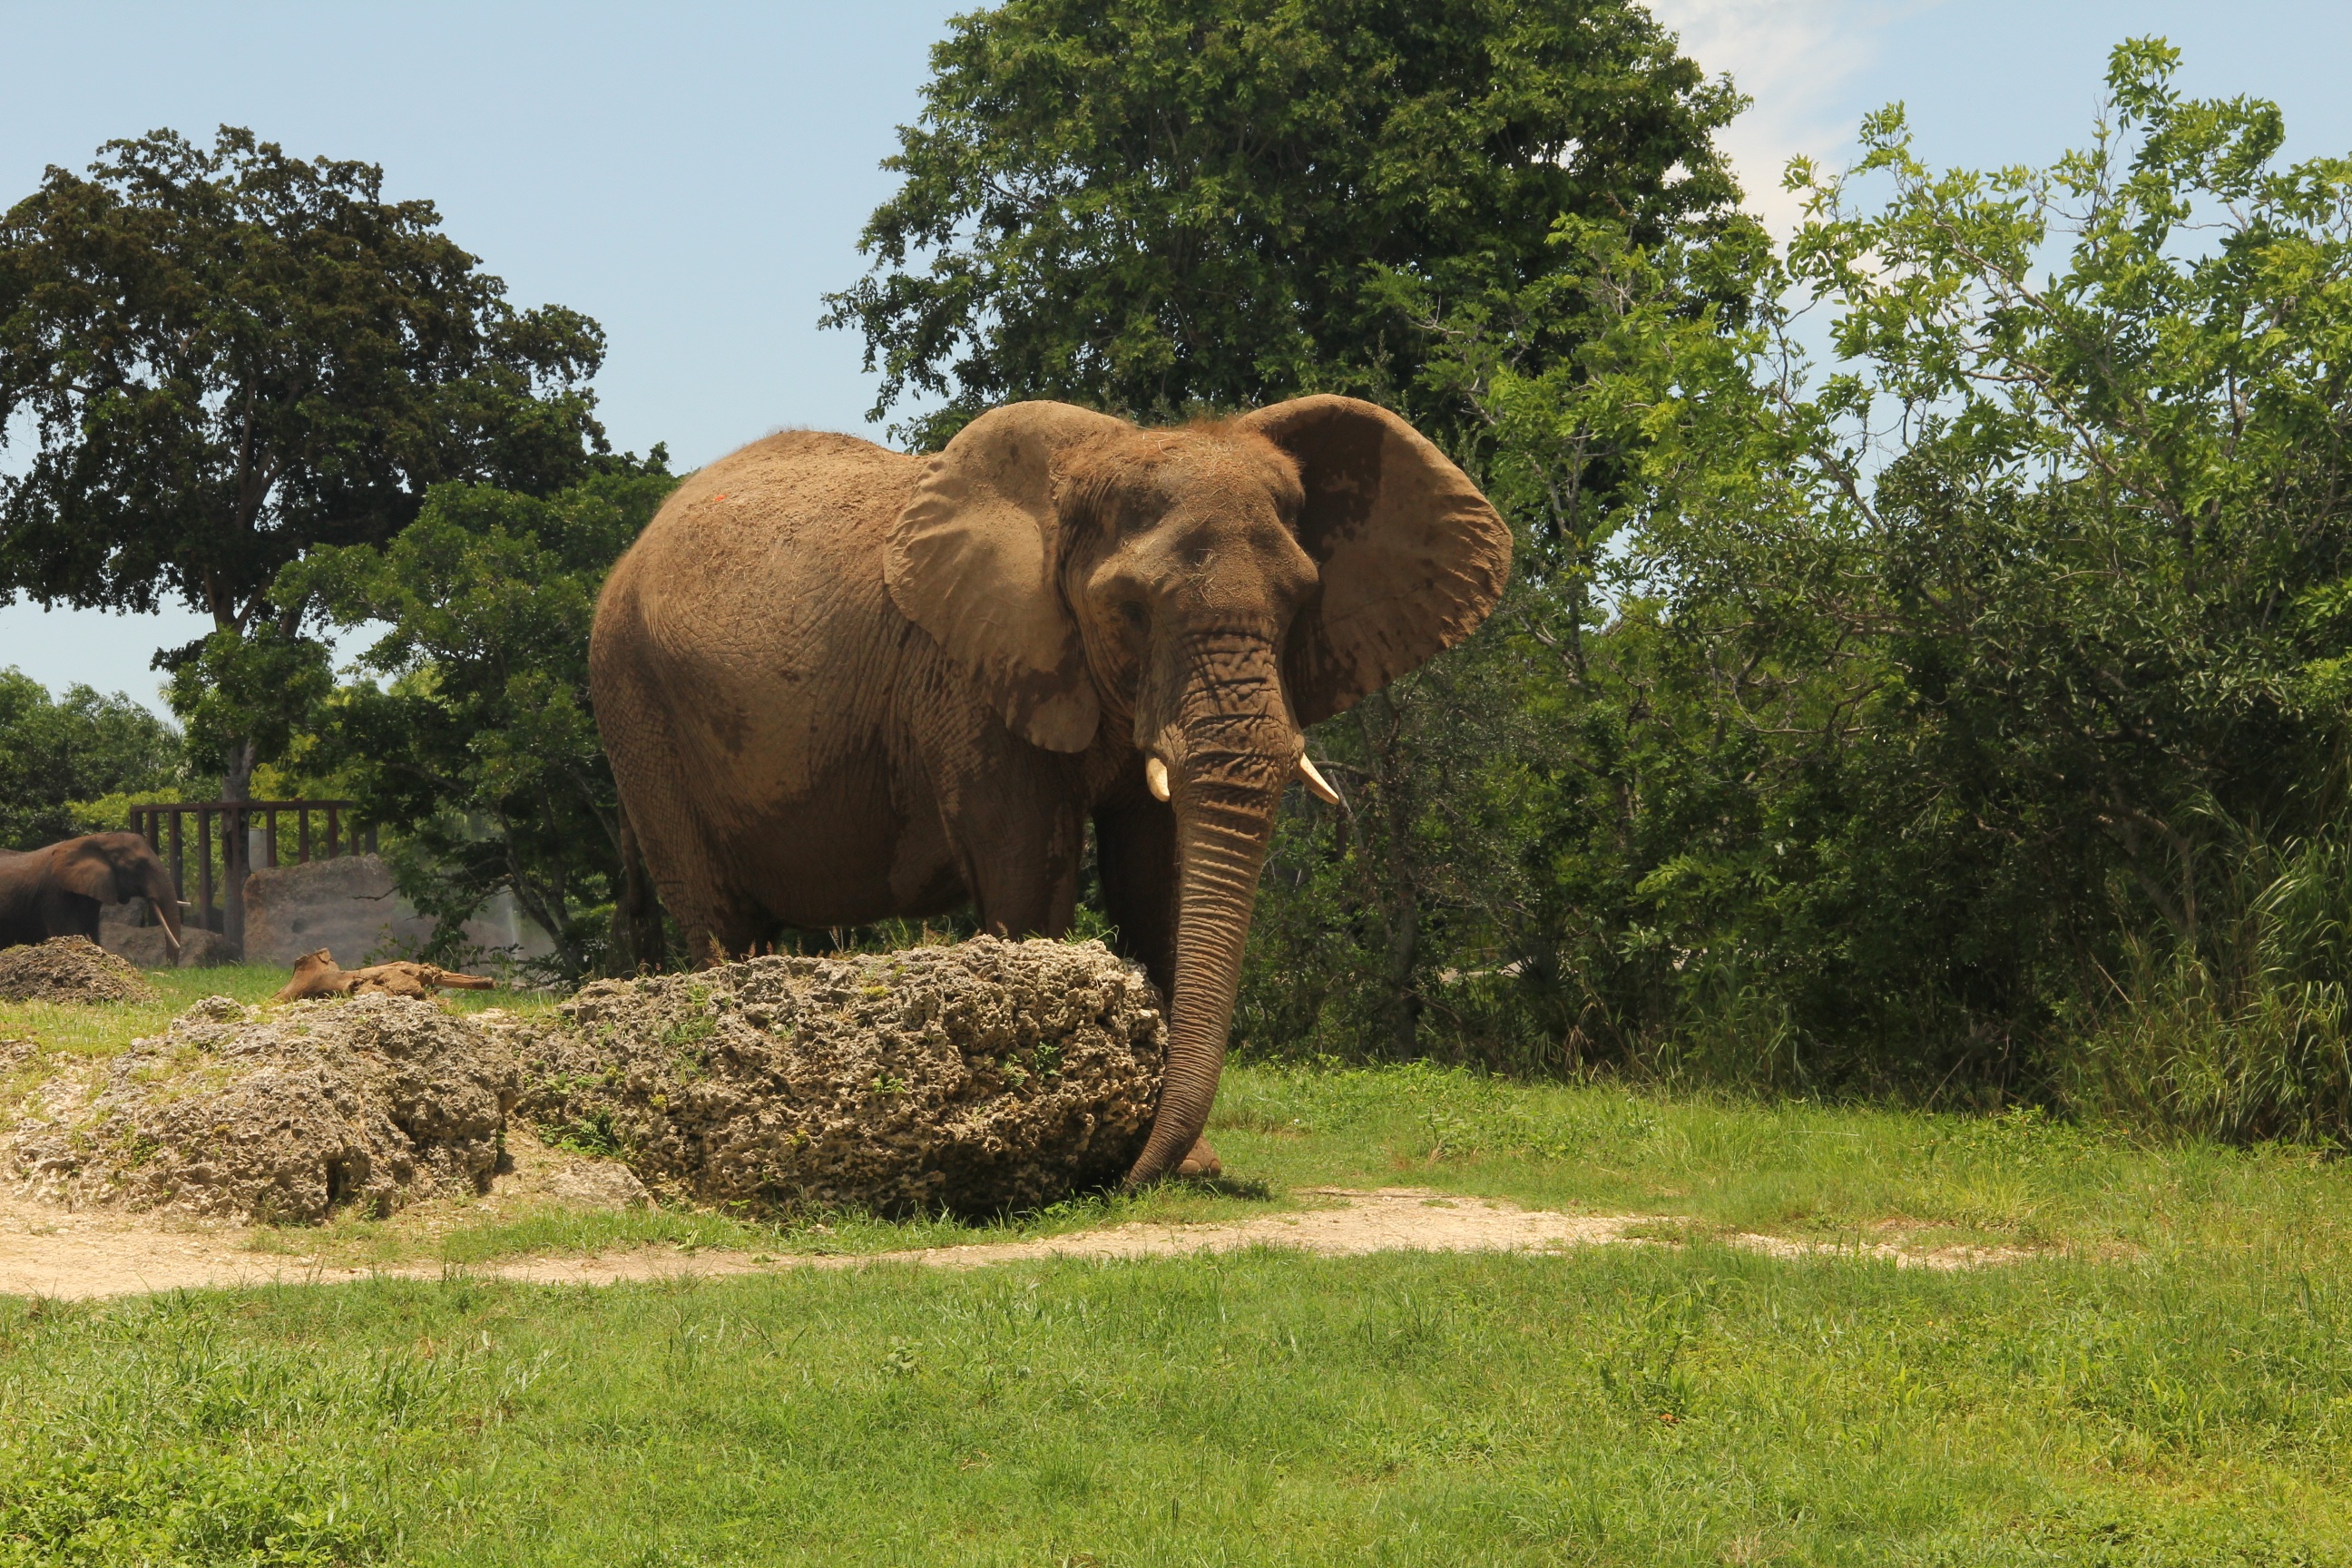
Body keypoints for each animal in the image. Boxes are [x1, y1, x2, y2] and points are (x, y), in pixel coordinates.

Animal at [585, 399, 1504, 1184]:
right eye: (1128, 608)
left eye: (1301, 600)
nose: (1130, 1180)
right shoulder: (970, 679)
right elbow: (1030, 871)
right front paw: (1047, 1138)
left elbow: (1156, 882)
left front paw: (1182, 1165)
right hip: (636, 708)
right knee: (718, 918)